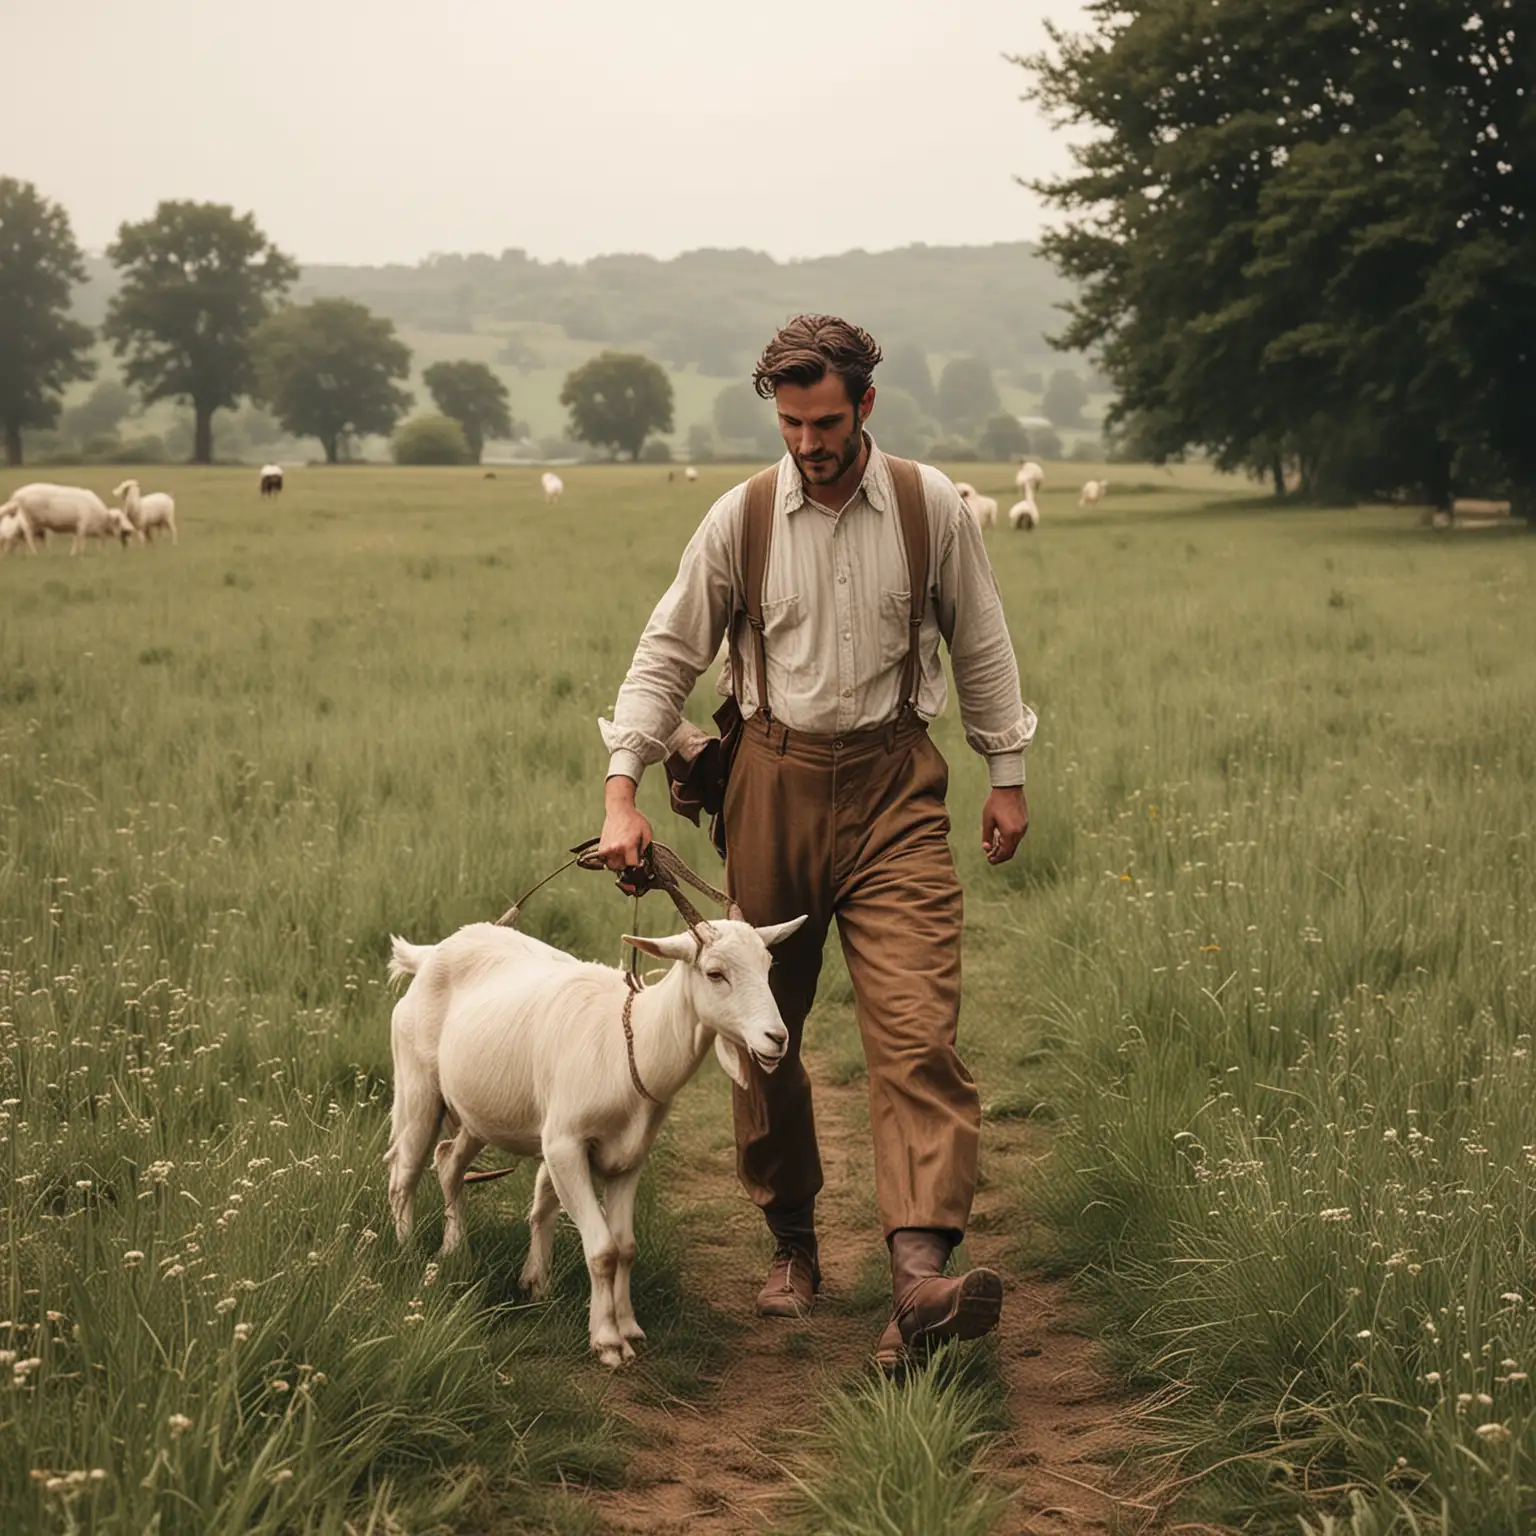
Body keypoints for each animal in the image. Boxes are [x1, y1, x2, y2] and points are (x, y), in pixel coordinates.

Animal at [0, 482, 130, 556]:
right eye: (119, 520)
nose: (128, 531)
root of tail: (16, 494)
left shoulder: (85, 528)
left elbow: (99, 542)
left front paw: (102, 552)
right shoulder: (82, 524)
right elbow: (80, 540)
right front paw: (77, 554)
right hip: (28, 519)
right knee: (28, 536)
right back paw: (35, 553)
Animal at [384, 915, 804, 1363]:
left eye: (768, 965)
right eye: (715, 973)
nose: (776, 1038)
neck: (629, 1047)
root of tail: (428, 954)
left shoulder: (630, 1159)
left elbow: (625, 1247)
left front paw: (630, 1327)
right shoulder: (565, 1146)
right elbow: (602, 1250)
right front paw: (606, 1341)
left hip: (479, 1112)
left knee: (449, 1161)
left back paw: (455, 1252)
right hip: (418, 1086)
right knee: (404, 1174)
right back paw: (408, 1254)